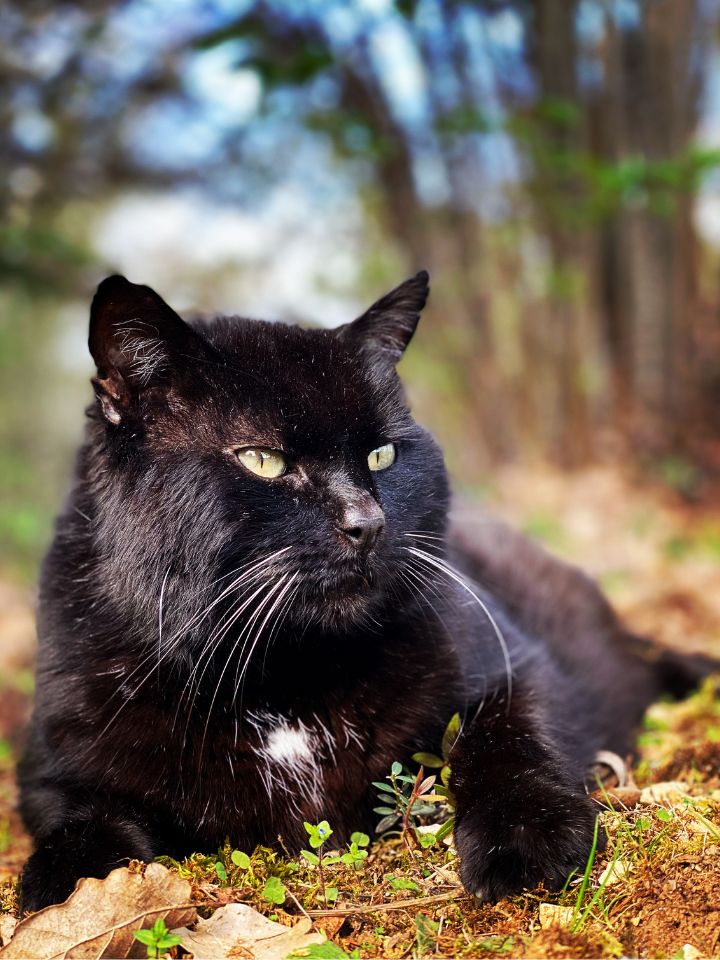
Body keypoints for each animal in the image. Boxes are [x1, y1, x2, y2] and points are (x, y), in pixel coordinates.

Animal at [16, 270, 716, 908]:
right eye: (262, 460)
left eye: (383, 455)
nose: (367, 522)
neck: (282, 672)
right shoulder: (56, 764)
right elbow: (79, 821)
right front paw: (66, 888)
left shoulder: (516, 665)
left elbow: (507, 739)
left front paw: (531, 838)